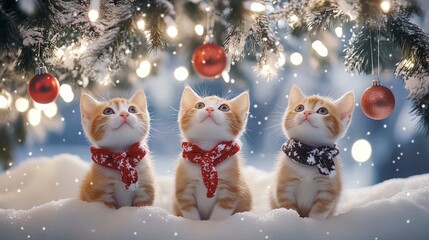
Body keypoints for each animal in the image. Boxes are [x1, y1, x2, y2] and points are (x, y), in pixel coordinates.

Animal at [171, 86, 251, 221]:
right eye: (199, 105)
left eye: (224, 107)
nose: (209, 109)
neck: (207, 153)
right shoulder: (183, 188)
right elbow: (189, 212)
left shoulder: (230, 188)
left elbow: (220, 213)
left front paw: (212, 224)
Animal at [270, 84, 354, 219]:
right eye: (300, 108)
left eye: (323, 111)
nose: (307, 112)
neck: (308, 154)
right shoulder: (284, 186)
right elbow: (288, 207)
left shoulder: (328, 191)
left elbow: (319, 212)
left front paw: (312, 222)